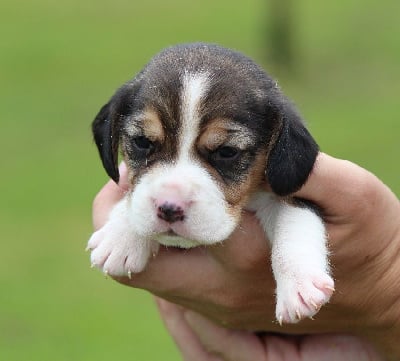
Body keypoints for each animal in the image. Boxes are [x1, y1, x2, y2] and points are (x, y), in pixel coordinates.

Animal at [87, 43, 334, 324]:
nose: (169, 208)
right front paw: (121, 236)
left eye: (226, 152)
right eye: (142, 142)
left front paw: (299, 283)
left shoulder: (296, 192)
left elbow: (294, 218)